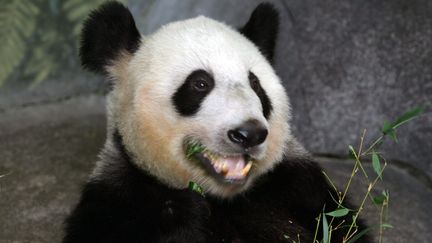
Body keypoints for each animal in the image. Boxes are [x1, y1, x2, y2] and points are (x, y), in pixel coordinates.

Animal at [63, 1, 372, 243]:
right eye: (200, 83)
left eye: (255, 84)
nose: (248, 134)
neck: (221, 197)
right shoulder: (116, 199)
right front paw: (186, 213)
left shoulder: (300, 187)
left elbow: (343, 227)